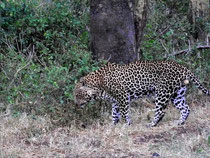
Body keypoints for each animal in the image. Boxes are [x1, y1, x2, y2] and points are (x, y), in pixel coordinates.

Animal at [73, 59, 208, 126]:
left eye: (78, 95)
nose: (76, 104)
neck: (98, 85)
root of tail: (182, 67)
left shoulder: (123, 96)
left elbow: (124, 113)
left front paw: (126, 124)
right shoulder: (115, 101)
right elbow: (114, 114)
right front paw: (113, 125)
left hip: (162, 93)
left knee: (161, 111)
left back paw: (152, 124)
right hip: (177, 94)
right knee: (185, 108)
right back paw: (180, 122)